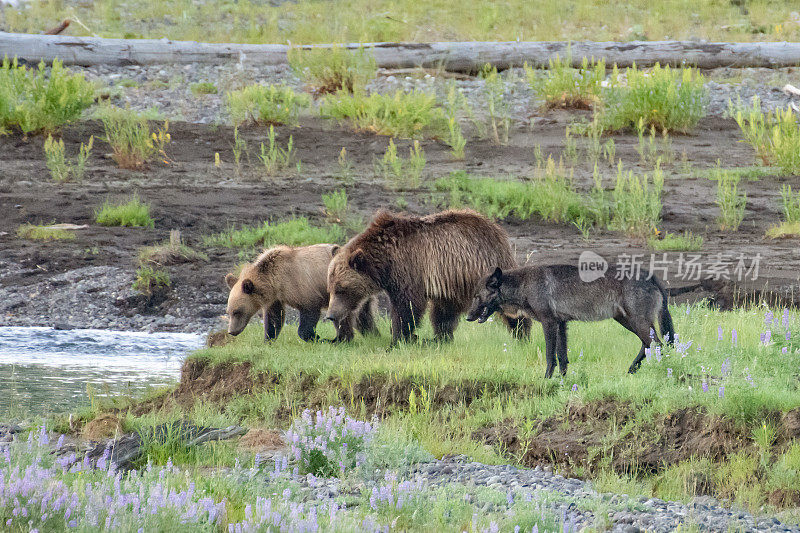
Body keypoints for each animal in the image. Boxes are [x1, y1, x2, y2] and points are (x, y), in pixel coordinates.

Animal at [223, 244, 376, 342]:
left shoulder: (302, 287)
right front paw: (268, 339)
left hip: (345, 294)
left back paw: (339, 339)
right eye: (228, 312)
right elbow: (274, 317)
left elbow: (309, 313)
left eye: (237, 311)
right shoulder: (276, 297)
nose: (231, 331)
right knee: (362, 316)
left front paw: (316, 337)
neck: (274, 280)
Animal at [324, 210, 532, 342]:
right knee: (444, 311)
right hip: (453, 283)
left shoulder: (409, 268)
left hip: (488, 266)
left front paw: (398, 338)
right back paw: (441, 337)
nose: (331, 315)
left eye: (341, 288)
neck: (384, 261)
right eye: (330, 288)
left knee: (510, 305)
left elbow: (407, 306)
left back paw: (522, 334)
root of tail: (496, 228)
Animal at [466, 264, 672, 376]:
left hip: (637, 323)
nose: (468, 317)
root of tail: (651, 276)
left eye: (476, 297)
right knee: (648, 345)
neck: (524, 285)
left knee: (659, 344)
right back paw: (631, 371)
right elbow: (562, 357)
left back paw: (661, 370)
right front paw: (563, 382)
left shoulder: (549, 323)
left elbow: (550, 357)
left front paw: (546, 380)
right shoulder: (561, 325)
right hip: (628, 322)